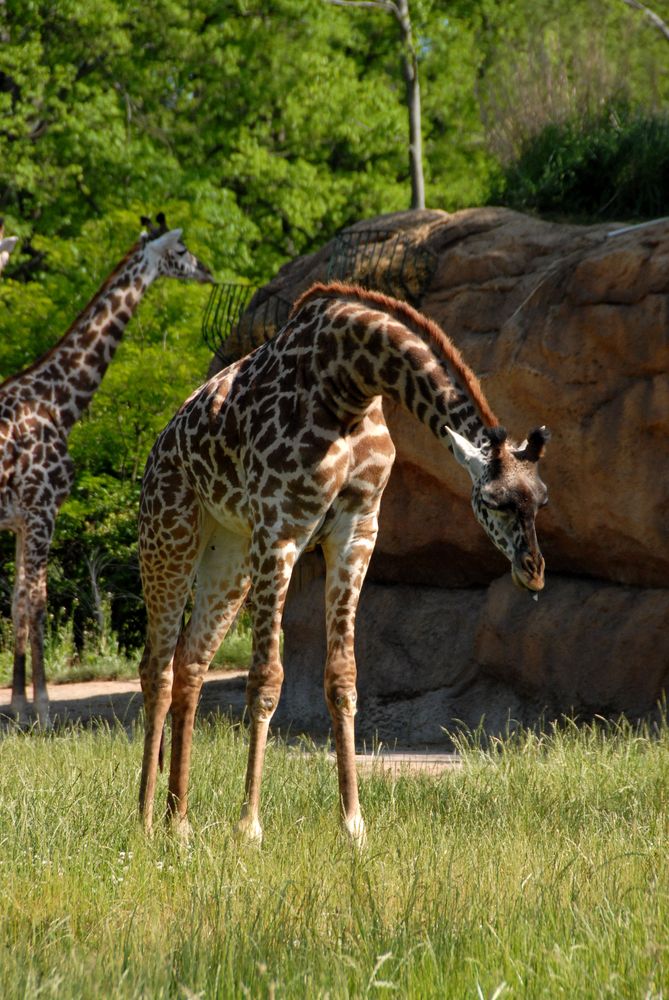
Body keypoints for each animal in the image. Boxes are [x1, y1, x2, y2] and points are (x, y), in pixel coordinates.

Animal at [0, 214, 213, 726]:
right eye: (181, 251)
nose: (208, 272)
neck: (57, 401)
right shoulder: (42, 512)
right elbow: (35, 603)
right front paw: (37, 708)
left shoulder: (23, 521)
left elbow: (19, 602)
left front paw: (20, 706)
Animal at [138, 281, 549, 846]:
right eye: (496, 501)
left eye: (541, 498)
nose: (534, 570)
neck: (349, 385)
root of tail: (158, 448)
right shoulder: (280, 529)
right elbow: (266, 679)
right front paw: (249, 826)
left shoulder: (357, 530)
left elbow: (342, 677)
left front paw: (354, 825)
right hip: (170, 534)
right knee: (156, 666)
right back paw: (143, 819)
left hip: (229, 551)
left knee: (191, 662)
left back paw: (179, 822)